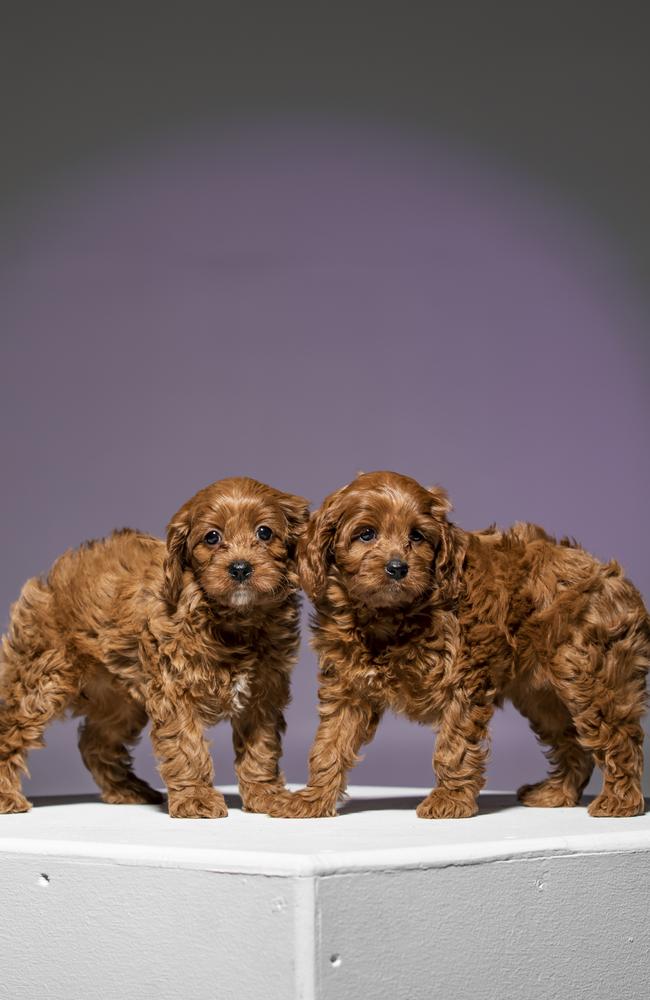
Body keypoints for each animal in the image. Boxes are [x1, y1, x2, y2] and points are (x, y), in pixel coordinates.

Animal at [0, 478, 308, 820]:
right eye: (212, 537)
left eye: (264, 532)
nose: (240, 568)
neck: (234, 620)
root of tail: (55, 575)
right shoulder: (175, 689)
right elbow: (187, 746)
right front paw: (196, 798)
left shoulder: (262, 696)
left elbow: (261, 749)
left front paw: (266, 795)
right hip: (41, 678)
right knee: (11, 729)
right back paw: (6, 796)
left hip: (118, 701)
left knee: (96, 742)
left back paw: (126, 790)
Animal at [266, 468, 644, 820]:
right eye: (366, 534)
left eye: (417, 536)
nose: (397, 568)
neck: (390, 615)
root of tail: (616, 579)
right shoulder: (348, 687)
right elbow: (330, 744)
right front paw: (312, 800)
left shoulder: (461, 679)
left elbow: (454, 745)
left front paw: (449, 800)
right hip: (542, 695)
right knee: (572, 743)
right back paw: (555, 794)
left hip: (590, 677)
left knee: (618, 736)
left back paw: (621, 801)